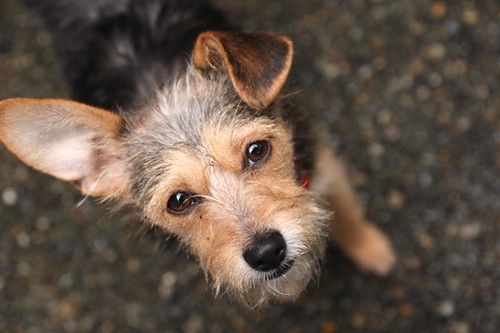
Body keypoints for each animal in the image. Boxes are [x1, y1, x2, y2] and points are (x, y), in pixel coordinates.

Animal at [0, 0, 394, 306]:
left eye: (257, 150)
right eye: (178, 201)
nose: (267, 252)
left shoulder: (321, 162)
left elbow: (345, 210)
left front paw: (371, 247)